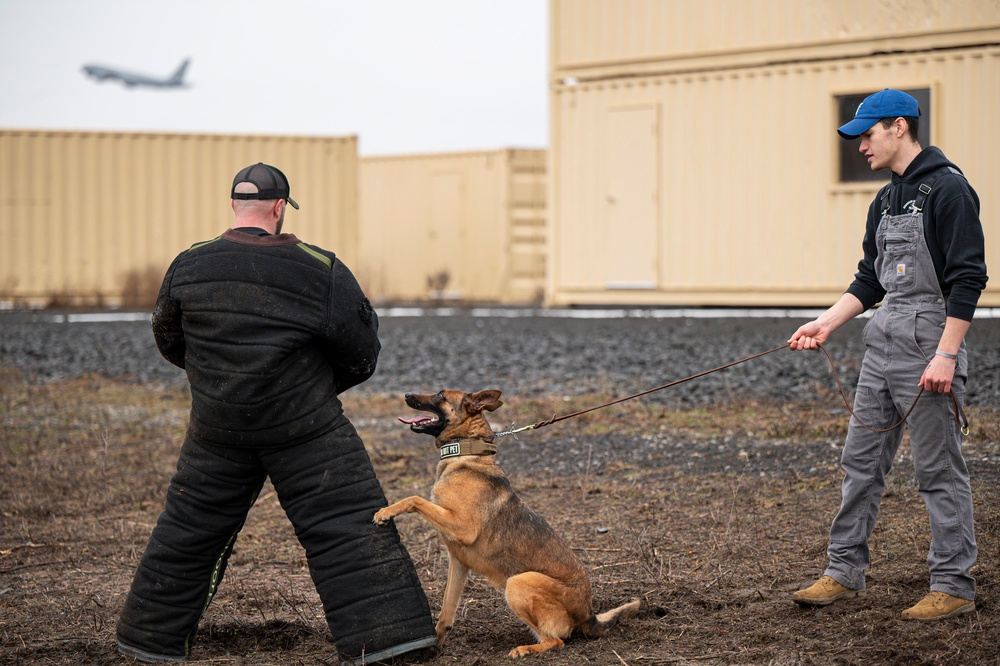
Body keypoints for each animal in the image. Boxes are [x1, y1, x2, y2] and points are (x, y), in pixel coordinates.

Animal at [374, 390, 640, 652]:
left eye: (440, 394)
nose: (407, 395)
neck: (467, 452)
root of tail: (588, 615)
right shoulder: (458, 563)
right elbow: (446, 612)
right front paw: (436, 644)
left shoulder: (463, 528)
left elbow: (414, 498)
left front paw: (385, 511)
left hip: (517, 583)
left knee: (555, 641)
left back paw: (526, 649)